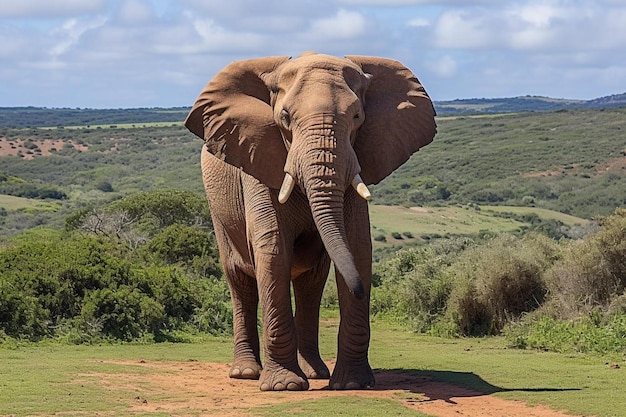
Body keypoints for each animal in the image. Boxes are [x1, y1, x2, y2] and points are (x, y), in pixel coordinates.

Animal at [184, 52, 434, 390]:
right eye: (285, 117)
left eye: (357, 117)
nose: (360, 290)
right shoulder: (258, 158)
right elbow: (273, 249)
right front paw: (284, 386)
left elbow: (357, 246)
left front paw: (352, 385)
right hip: (218, 208)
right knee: (240, 280)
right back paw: (247, 373)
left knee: (309, 287)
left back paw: (316, 373)